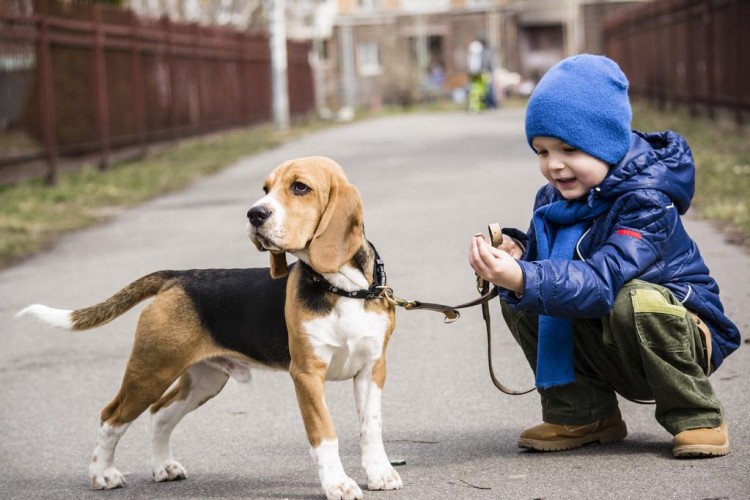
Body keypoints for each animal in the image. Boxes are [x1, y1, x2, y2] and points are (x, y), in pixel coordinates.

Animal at [17, 156, 402, 500]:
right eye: (265, 189)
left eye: (299, 187)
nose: (254, 214)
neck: (342, 287)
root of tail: (176, 277)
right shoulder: (307, 375)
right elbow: (325, 434)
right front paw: (338, 485)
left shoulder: (372, 369)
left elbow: (371, 427)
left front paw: (379, 474)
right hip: (151, 370)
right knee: (111, 417)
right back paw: (102, 474)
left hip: (204, 380)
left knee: (160, 414)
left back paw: (163, 467)